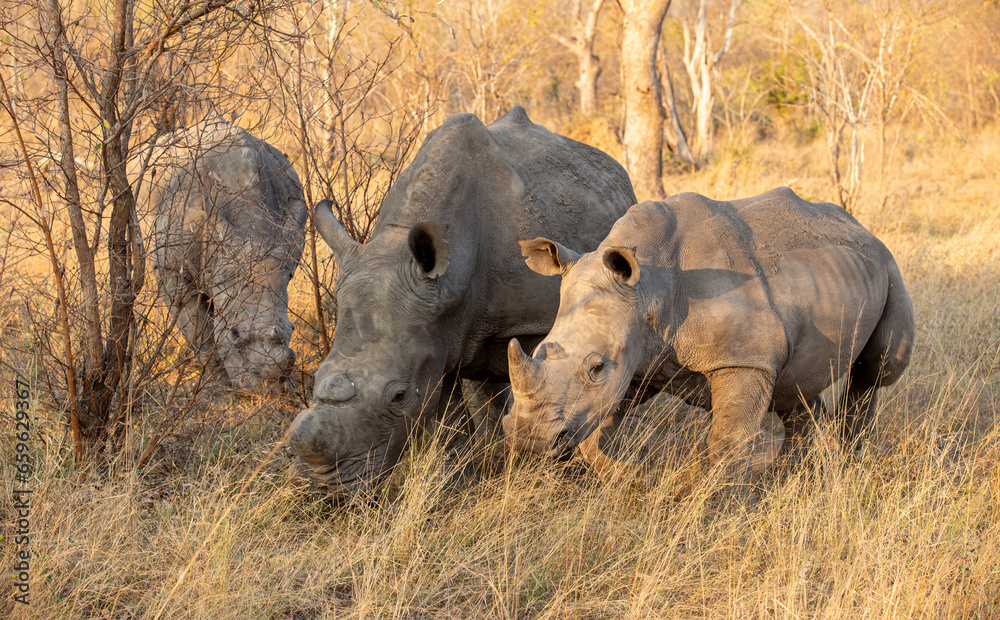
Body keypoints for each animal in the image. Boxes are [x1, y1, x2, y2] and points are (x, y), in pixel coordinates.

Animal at [137, 122, 308, 389]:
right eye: (234, 334)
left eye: (292, 328)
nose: (263, 387)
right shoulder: (171, 269)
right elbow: (197, 327)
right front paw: (216, 382)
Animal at [287, 106, 636, 499]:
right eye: (314, 378)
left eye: (398, 396)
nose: (325, 491)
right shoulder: (436, 332)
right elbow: (448, 423)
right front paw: (456, 485)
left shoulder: (540, 317)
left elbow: (556, 386)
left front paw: (549, 475)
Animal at [505, 187, 915, 480]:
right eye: (539, 350)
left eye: (597, 368)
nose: (527, 438)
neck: (649, 288)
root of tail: (862, 228)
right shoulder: (642, 359)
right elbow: (595, 433)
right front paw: (634, 480)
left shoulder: (744, 360)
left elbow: (727, 442)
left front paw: (718, 514)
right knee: (793, 389)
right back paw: (790, 475)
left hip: (890, 267)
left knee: (878, 368)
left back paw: (849, 459)